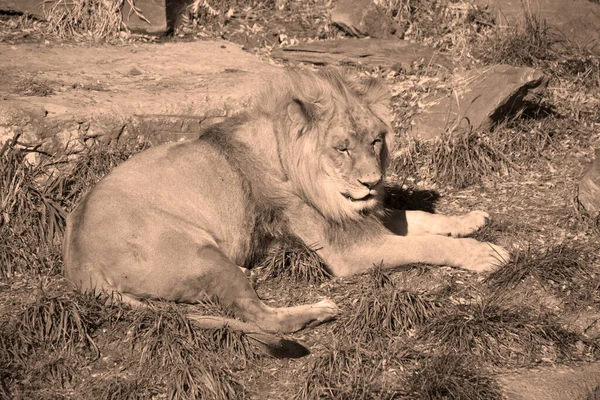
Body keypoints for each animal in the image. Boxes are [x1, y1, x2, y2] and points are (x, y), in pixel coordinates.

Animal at [63, 67, 508, 340]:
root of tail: (77, 263)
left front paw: (468, 218)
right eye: (342, 148)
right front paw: (485, 253)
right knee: (260, 318)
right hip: (201, 254)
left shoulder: (358, 219)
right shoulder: (347, 251)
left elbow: (416, 217)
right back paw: (319, 310)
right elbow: (426, 243)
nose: (372, 181)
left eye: (375, 141)